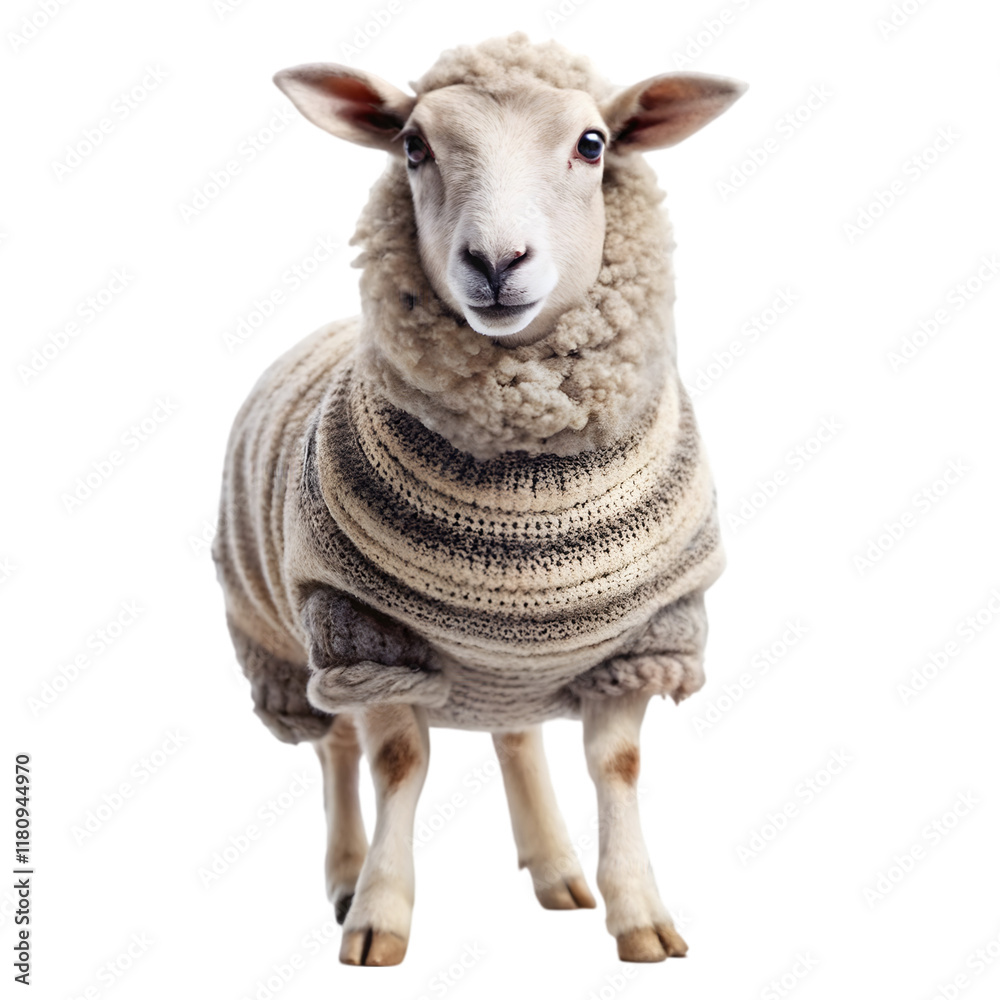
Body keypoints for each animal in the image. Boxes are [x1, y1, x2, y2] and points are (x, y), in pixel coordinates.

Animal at [213, 32, 744, 966]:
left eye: (593, 144)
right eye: (412, 146)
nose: (496, 263)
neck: (525, 456)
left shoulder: (651, 636)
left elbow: (617, 767)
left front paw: (640, 914)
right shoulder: (364, 632)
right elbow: (397, 765)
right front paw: (378, 916)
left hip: (505, 669)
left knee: (515, 733)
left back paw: (556, 868)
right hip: (284, 640)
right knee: (336, 751)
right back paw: (345, 876)